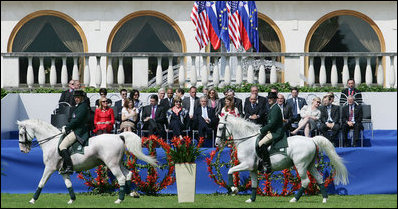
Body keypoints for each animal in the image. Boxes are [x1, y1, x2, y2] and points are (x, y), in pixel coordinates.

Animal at [16, 119, 157, 204]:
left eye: (21, 134)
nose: (22, 150)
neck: (51, 142)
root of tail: (118, 136)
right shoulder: (63, 171)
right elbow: (68, 184)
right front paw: (72, 200)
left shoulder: (49, 168)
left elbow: (41, 183)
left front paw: (32, 200)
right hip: (118, 163)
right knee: (128, 174)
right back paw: (131, 193)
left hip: (112, 164)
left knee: (121, 178)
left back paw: (119, 200)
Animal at [215, 115, 348, 203]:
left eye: (220, 128)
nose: (217, 144)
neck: (246, 140)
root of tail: (311, 139)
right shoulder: (252, 169)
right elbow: (254, 184)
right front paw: (251, 199)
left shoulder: (247, 164)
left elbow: (230, 170)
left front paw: (233, 189)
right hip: (309, 165)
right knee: (319, 178)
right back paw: (325, 199)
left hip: (300, 165)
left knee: (305, 181)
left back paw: (294, 199)